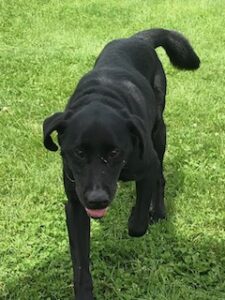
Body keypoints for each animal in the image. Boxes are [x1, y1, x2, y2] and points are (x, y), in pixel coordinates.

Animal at [43, 27, 200, 298]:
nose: (97, 200)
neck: (101, 99)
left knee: (161, 179)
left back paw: (158, 211)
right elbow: (80, 262)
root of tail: (137, 39)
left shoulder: (147, 166)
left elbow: (137, 224)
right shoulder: (75, 204)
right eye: (78, 153)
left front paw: (137, 215)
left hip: (159, 133)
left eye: (115, 152)